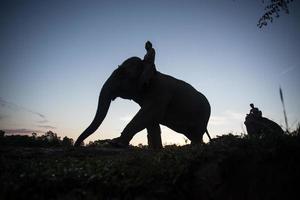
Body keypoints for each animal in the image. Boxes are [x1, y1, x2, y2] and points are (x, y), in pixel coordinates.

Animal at [74, 56, 211, 148]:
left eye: (121, 73)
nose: (76, 145)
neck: (151, 70)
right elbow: (151, 121)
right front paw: (156, 150)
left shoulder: (160, 92)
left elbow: (148, 115)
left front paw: (115, 142)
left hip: (202, 116)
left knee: (197, 136)